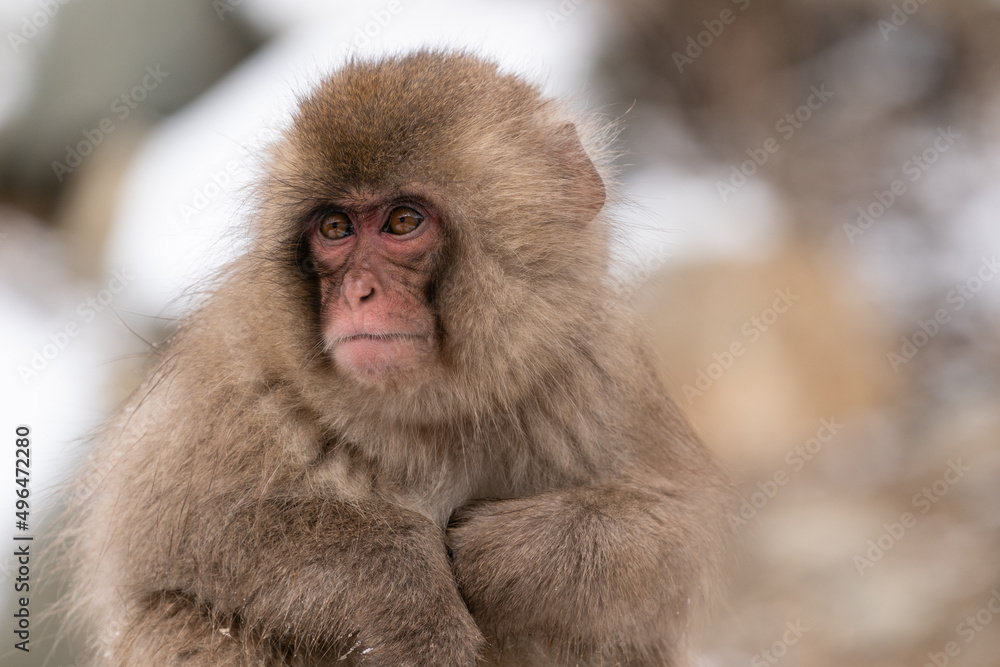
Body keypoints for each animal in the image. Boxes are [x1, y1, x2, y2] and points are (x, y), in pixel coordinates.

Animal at [64, 50, 734, 666]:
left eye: (403, 220)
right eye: (335, 228)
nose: (359, 292)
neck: (430, 412)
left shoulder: (598, 369)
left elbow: (686, 541)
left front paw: (495, 555)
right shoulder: (239, 372)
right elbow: (168, 535)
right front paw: (407, 585)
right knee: (177, 621)